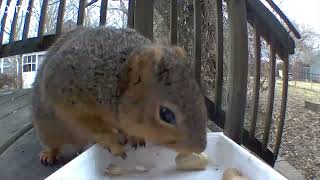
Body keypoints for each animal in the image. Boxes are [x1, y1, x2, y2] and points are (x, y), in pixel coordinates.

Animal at [31, 26, 208, 166]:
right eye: (165, 114)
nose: (201, 148)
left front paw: (134, 136)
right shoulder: (66, 93)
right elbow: (89, 125)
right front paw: (114, 144)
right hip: (47, 128)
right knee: (52, 143)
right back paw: (48, 154)